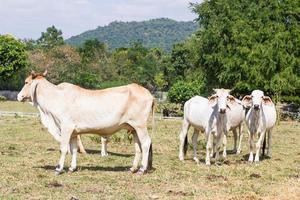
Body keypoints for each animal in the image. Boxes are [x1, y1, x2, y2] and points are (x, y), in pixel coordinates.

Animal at [18, 71, 154, 175]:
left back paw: (142, 169)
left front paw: (58, 169)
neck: (56, 97)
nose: (19, 96)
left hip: (140, 126)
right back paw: (133, 168)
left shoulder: (66, 128)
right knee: (138, 146)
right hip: (133, 128)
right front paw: (72, 168)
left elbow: (63, 148)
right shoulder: (73, 132)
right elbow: (73, 149)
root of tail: (149, 94)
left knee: (146, 143)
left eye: (26, 82)